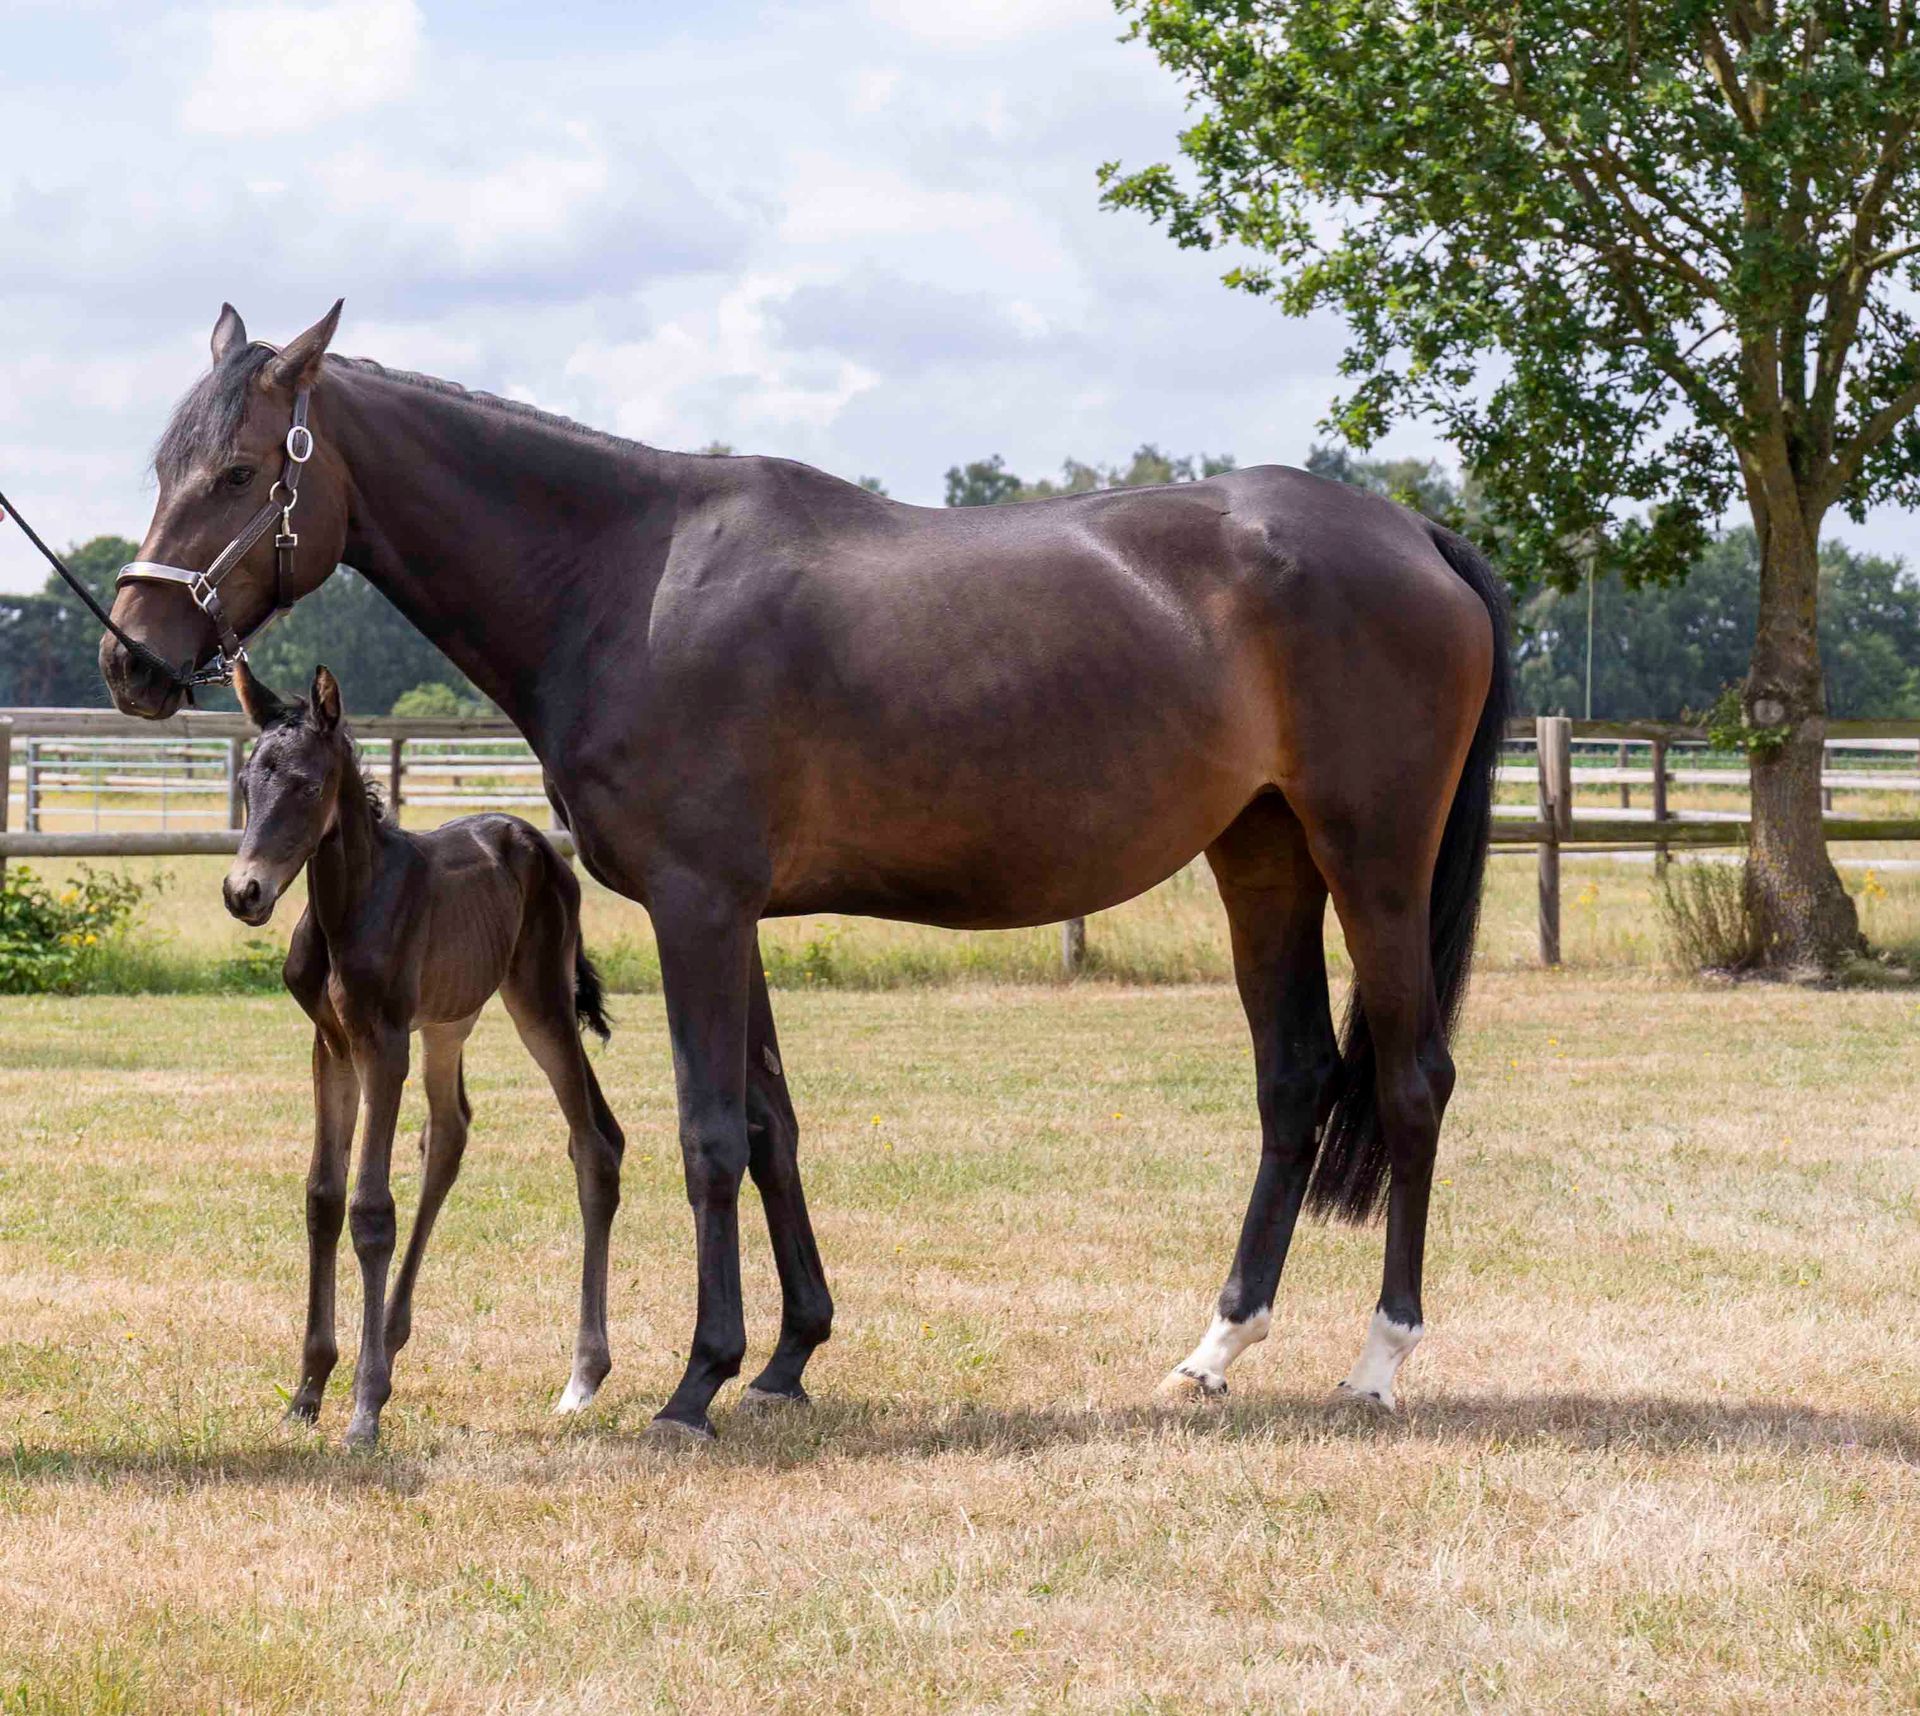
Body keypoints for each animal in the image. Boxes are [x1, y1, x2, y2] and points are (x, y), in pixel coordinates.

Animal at [223, 659, 624, 1448]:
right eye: (247, 783)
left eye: (307, 786)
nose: (243, 891)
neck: (349, 906)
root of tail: (535, 840)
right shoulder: (331, 1044)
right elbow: (323, 1196)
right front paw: (308, 1390)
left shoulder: (383, 1045)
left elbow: (371, 1209)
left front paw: (364, 1409)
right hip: (448, 1023)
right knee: (453, 1132)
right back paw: (393, 1333)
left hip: (539, 1003)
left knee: (593, 1143)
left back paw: (582, 1377)